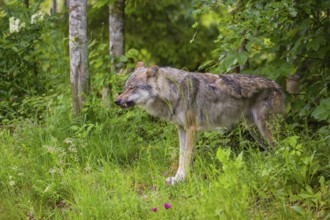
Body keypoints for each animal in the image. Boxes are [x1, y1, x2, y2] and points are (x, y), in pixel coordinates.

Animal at [114, 61, 284, 184]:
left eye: (132, 88)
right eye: (125, 87)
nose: (116, 101)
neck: (174, 92)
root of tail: (277, 85)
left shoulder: (191, 129)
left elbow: (187, 157)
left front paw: (183, 179)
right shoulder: (181, 129)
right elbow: (181, 156)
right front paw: (176, 178)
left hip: (265, 129)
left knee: (282, 147)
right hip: (254, 131)